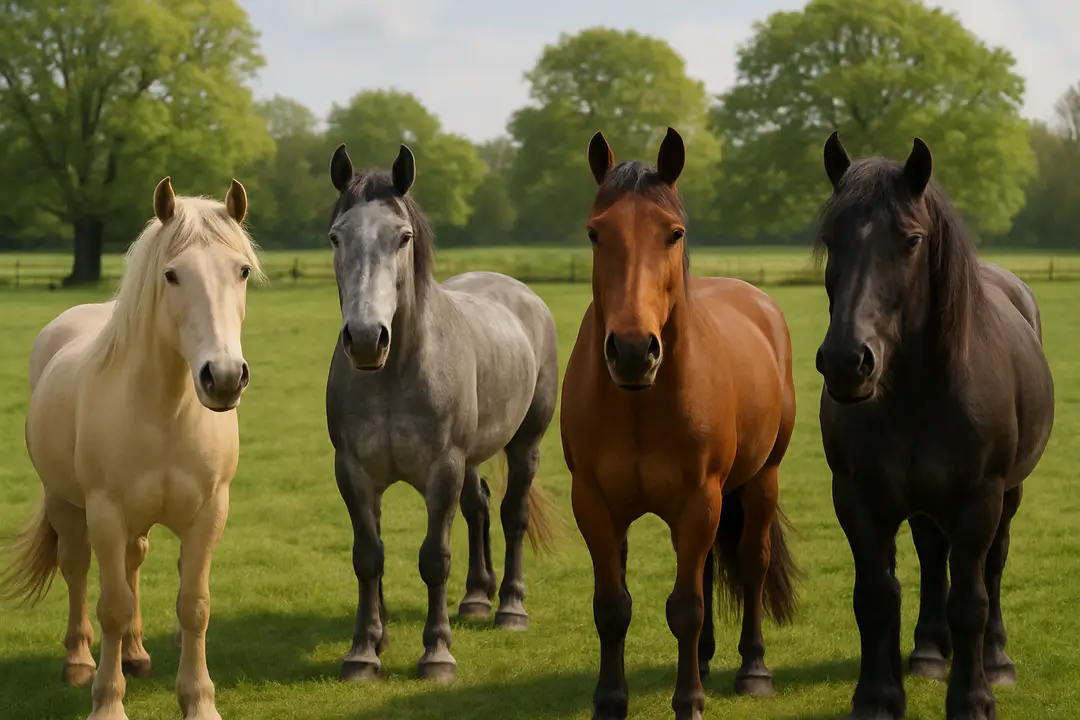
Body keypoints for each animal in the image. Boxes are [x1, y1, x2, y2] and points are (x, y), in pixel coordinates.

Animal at [1, 177, 260, 720]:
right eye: (172, 274)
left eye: (242, 271)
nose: (225, 377)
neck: (165, 412)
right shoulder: (105, 512)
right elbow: (112, 606)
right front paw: (107, 701)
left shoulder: (209, 512)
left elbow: (194, 605)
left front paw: (199, 701)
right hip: (65, 503)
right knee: (77, 569)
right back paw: (79, 661)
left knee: (133, 562)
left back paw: (137, 654)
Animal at [323, 141, 559, 683]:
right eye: (336, 237)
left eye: (403, 237)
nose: (365, 338)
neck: (395, 372)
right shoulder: (353, 472)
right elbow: (368, 557)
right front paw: (365, 649)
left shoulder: (442, 468)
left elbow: (434, 558)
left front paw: (436, 653)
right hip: (470, 458)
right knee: (479, 507)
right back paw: (475, 598)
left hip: (525, 443)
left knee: (511, 513)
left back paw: (509, 607)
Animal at [560, 127, 800, 720]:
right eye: (596, 233)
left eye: (673, 233)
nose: (631, 351)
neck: (640, 406)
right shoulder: (594, 504)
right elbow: (612, 607)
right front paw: (610, 700)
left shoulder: (699, 500)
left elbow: (685, 606)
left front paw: (688, 701)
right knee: (711, 567)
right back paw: (709, 659)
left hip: (760, 480)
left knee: (752, 563)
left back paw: (752, 669)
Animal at [815, 132, 1055, 720]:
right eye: (831, 238)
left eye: (911, 240)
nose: (846, 361)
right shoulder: (857, 499)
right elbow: (876, 595)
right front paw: (878, 697)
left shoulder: (979, 499)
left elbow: (970, 599)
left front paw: (972, 698)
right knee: (929, 555)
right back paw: (927, 650)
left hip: (1008, 495)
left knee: (993, 565)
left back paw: (996, 660)